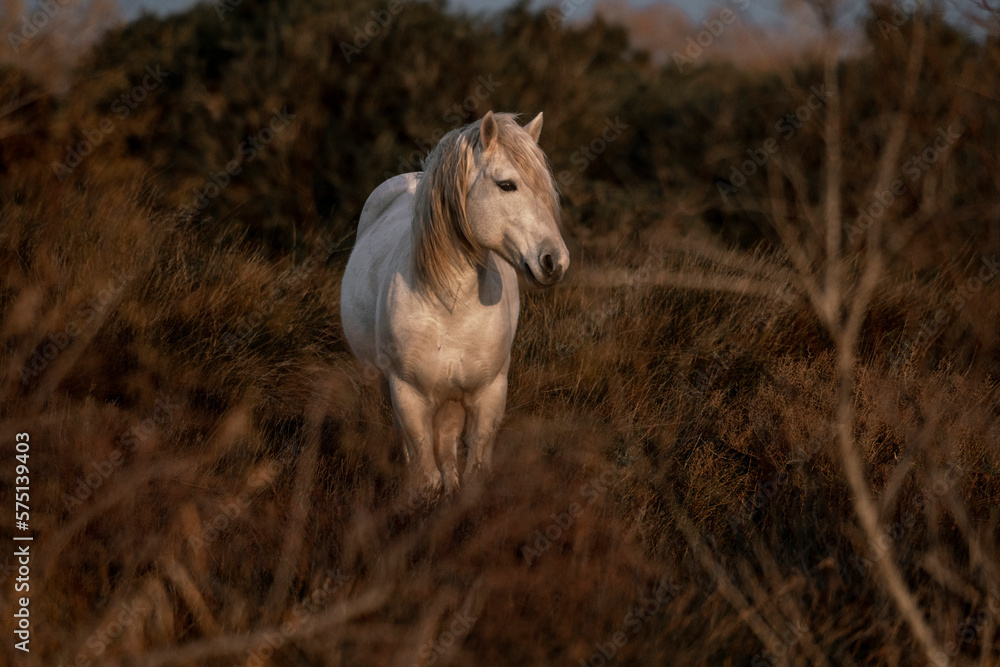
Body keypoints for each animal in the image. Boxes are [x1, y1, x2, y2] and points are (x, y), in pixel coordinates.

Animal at [340, 111, 569, 503]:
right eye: (506, 185)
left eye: (546, 190)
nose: (555, 261)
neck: (451, 307)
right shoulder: (408, 394)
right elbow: (424, 473)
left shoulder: (489, 393)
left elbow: (475, 470)